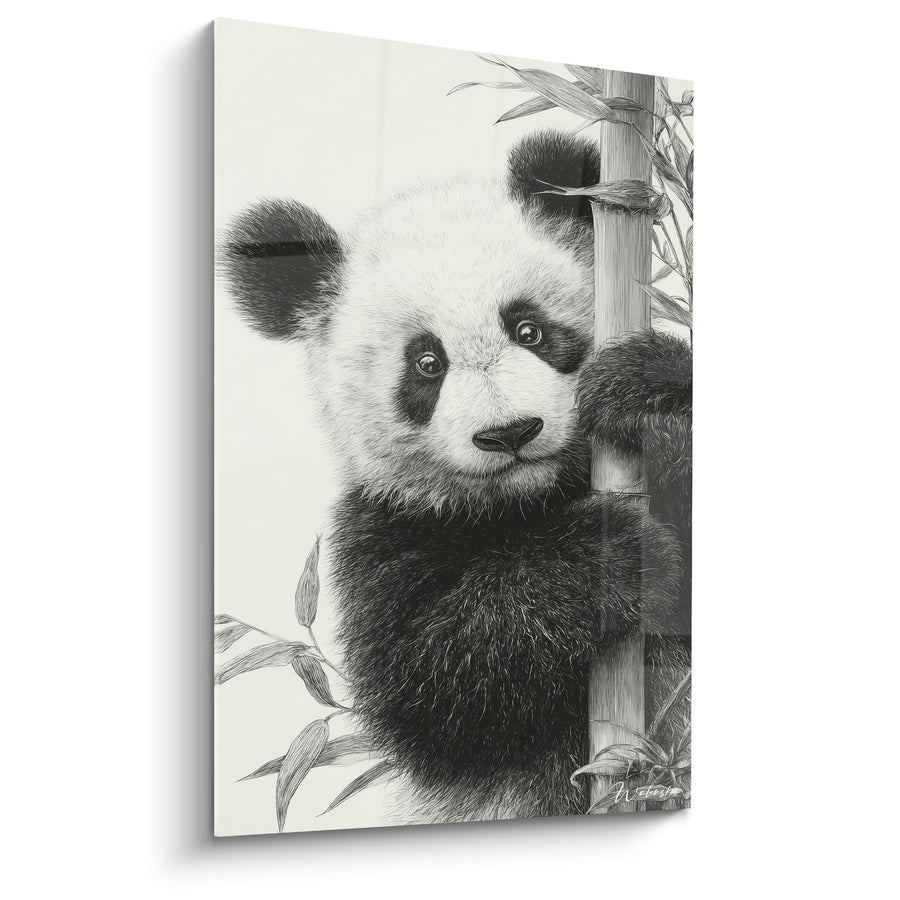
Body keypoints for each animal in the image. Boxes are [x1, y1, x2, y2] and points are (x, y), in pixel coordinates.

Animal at [221, 129, 692, 823]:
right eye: (426, 363)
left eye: (529, 328)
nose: (510, 433)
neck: (528, 502)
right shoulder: (383, 530)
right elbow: (438, 690)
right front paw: (609, 554)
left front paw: (645, 395)